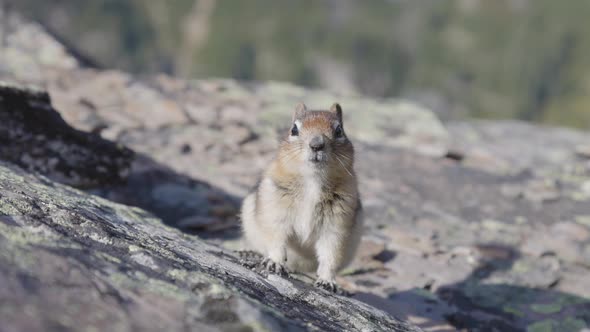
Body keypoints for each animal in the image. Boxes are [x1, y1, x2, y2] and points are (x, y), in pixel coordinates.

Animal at [242, 102, 366, 290]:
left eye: (339, 130)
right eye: (294, 129)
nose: (316, 145)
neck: (313, 179)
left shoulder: (336, 225)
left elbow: (331, 253)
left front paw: (327, 281)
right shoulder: (276, 210)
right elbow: (276, 239)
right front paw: (275, 262)